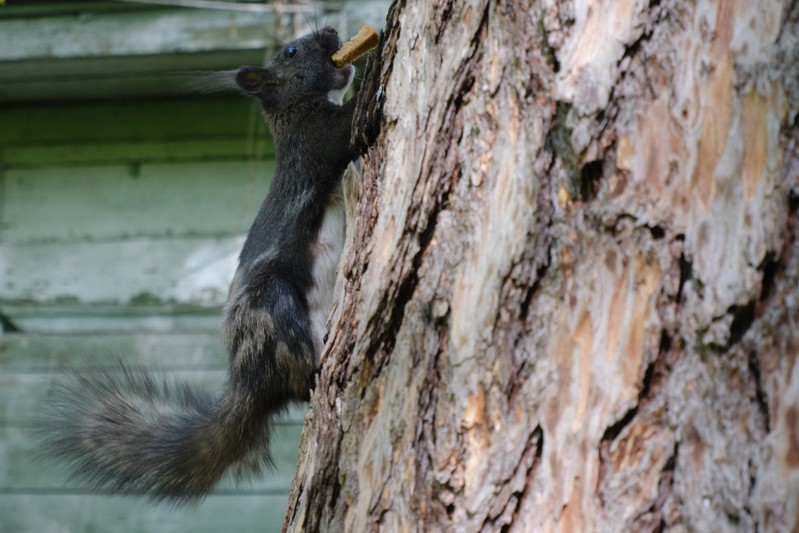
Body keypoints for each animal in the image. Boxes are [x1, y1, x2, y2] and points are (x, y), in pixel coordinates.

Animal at [43, 26, 378, 502]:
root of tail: (246, 383)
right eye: (291, 50)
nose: (331, 31)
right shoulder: (315, 141)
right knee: (297, 376)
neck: (292, 113)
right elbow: (349, 125)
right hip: (271, 306)